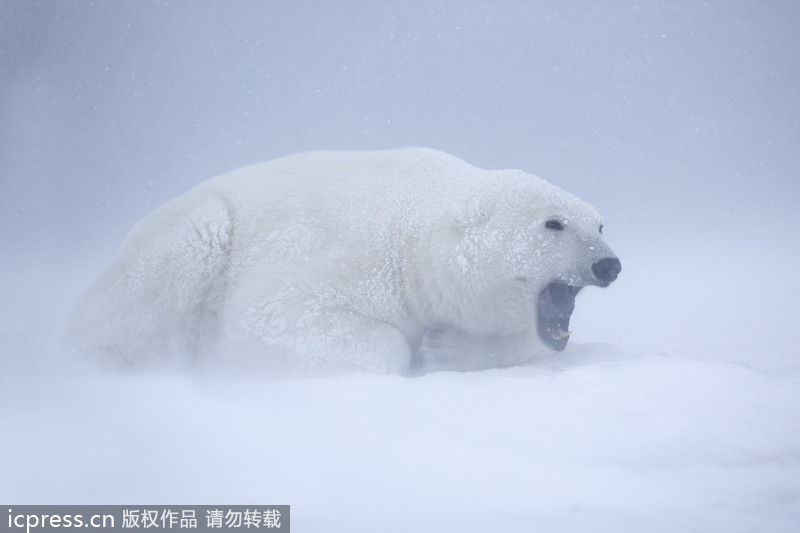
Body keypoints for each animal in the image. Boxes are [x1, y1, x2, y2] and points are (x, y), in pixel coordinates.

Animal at [65, 148, 620, 374]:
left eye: (598, 225)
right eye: (553, 224)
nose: (608, 265)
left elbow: (530, 341)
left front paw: (445, 348)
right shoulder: (352, 256)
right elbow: (266, 314)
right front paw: (414, 352)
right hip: (185, 242)